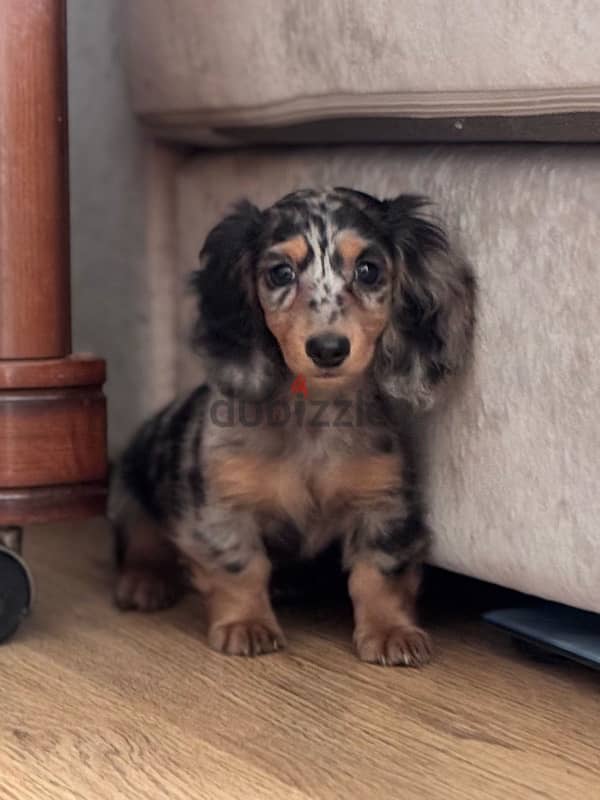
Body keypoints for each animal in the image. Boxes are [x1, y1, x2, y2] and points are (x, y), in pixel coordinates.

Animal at [110, 186, 476, 664]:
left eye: (369, 270)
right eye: (280, 273)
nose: (328, 349)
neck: (313, 415)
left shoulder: (385, 504)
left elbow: (378, 574)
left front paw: (391, 630)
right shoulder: (221, 504)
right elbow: (241, 566)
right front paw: (246, 623)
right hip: (129, 489)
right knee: (141, 537)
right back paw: (145, 580)